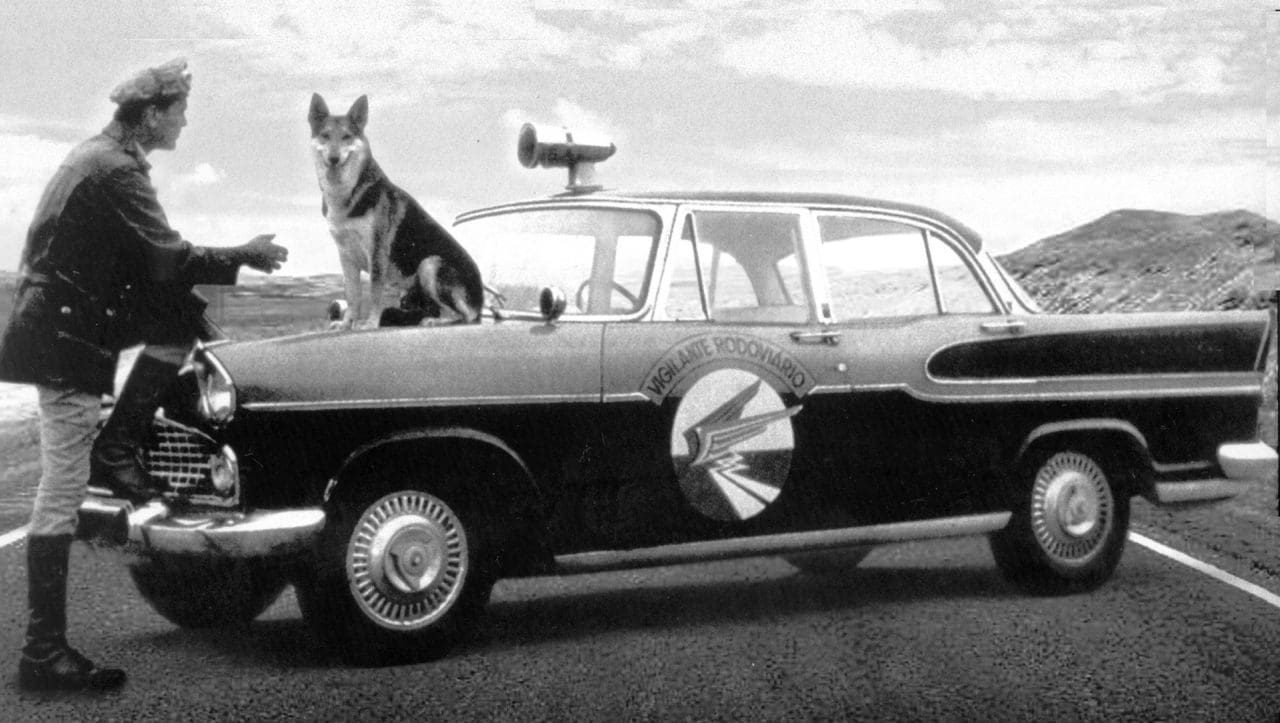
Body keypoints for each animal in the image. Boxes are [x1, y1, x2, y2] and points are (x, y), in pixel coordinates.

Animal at [309, 93, 483, 329]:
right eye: (325, 136)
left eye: (346, 137)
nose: (334, 159)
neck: (348, 195)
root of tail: (481, 301)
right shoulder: (346, 256)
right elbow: (353, 295)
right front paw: (346, 323)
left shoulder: (377, 252)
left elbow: (374, 291)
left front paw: (371, 323)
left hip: (429, 264)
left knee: (464, 316)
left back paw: (435, 321)